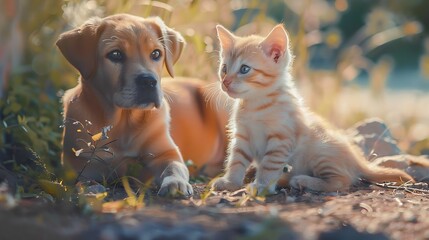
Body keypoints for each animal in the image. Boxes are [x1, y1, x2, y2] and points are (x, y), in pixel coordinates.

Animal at [57, 14, 227, 196]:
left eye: (156, 53)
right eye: (115, 54)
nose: (148, 81)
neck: (124, 121)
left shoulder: (167, 152)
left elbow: (174, 167)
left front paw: (176, 183)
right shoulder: (81, 166)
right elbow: (83, 181)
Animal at [211, 24, 412, 194]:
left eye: (245, 69)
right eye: (224, 68)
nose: (225, 82)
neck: (255, 105)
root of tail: (358, 160)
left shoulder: (280, 140)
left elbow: (269, 165)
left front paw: (261, 186)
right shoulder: (242, 137)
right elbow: (235, 161)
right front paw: (230, 182)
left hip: (321, 152)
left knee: (343, 181)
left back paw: (303, 181)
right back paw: (285, 179)